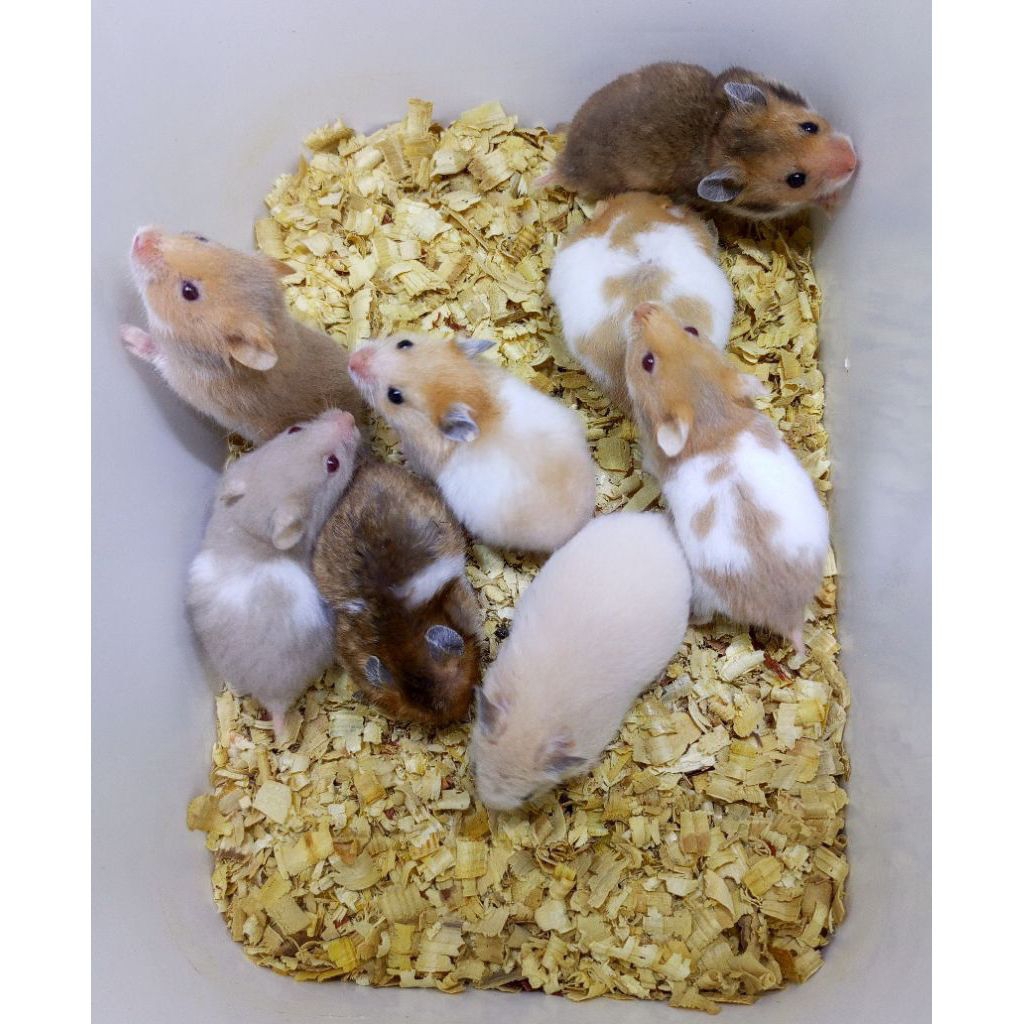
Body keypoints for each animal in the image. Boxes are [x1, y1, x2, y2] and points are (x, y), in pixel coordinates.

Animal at [121, 227, 364, 443]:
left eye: (189, 291)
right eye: (202, 238)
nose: (140, 237)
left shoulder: (181, 377)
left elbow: (154, 352)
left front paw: (124, 333)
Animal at [348, 334, 596, 553]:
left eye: (395, 396)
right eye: (404, 343)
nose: (352, 360)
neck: (476, 400)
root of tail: (580, 525)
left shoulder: (420, 457)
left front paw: (399, 455)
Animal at [542, 63, 857, 220]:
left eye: (809, 126)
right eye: (795, 180)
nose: (855, 160)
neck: (716, 134)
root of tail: (566, 163)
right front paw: (834, 204)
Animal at [625, 302, 829, 651]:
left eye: (646, 362)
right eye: (692, 328)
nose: (642, 307)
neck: (711, 418)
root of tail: (787, 616)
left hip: (705, 592)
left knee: (705, 616)